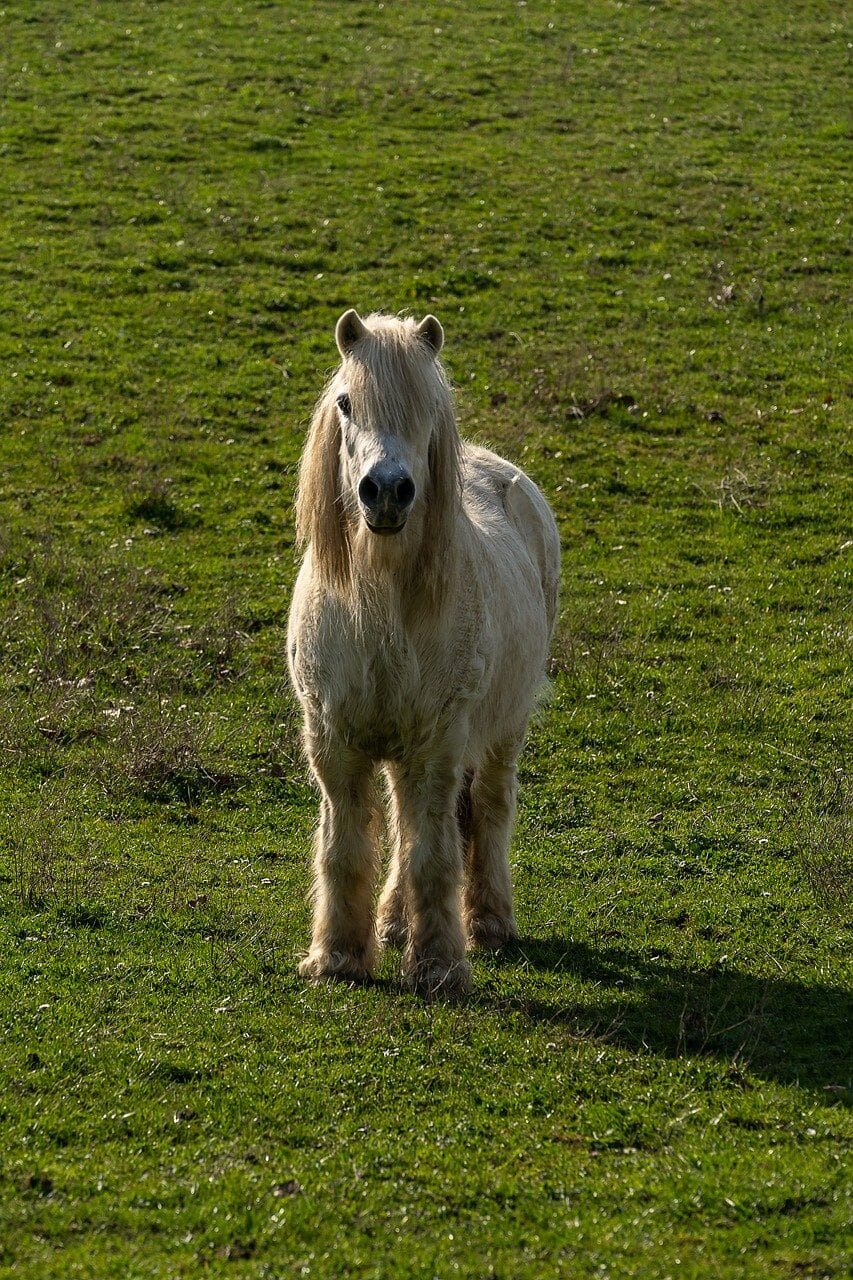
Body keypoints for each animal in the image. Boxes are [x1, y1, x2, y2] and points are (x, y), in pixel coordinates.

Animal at [287, 309, 560, 996]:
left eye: (429, 408)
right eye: (347, 402)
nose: (387, 491)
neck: (384, 608)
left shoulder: (438, 747)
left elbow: (434, 855)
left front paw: (438, 964)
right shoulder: (335, 745)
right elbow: (347, 849)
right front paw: (338, 957)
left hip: (500, 732)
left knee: (487, 810)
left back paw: (488, 921)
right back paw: (389, 924)